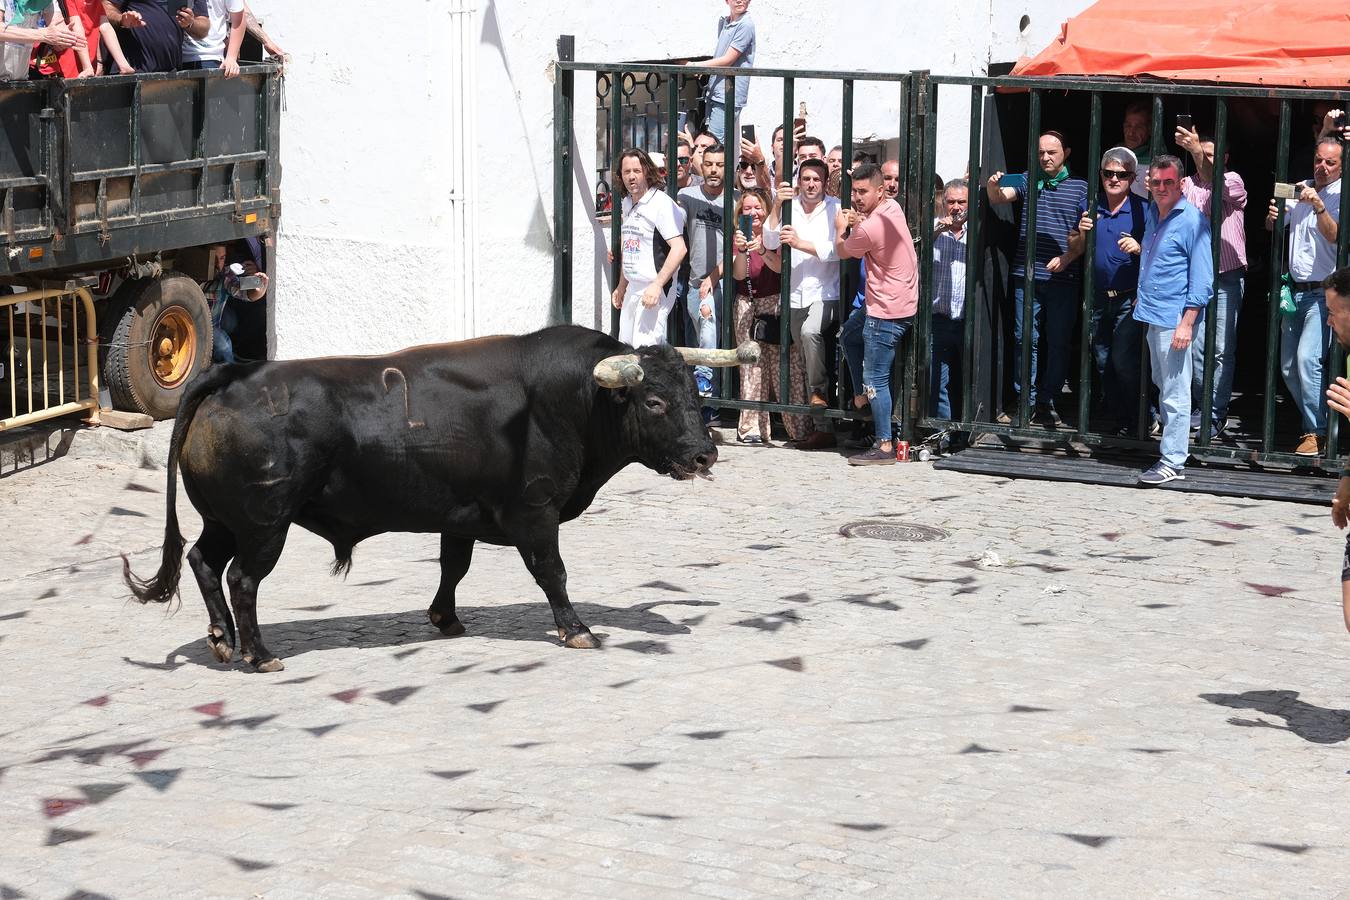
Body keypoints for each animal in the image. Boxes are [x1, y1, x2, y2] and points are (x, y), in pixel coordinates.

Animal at [124, 327, 761, 671]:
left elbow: (454, 565)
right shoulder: (535, 513)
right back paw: (258, 653)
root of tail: (233, 375)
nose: (705, 456)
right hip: (264, 525)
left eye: (694, 395)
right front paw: (576, 627)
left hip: (225, 520)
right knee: (242, 579)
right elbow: (551, 571)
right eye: (653, 402)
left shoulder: (460, 515)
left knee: (203, 561)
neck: (570, 399)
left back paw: (222, 640)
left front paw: (445, 618)